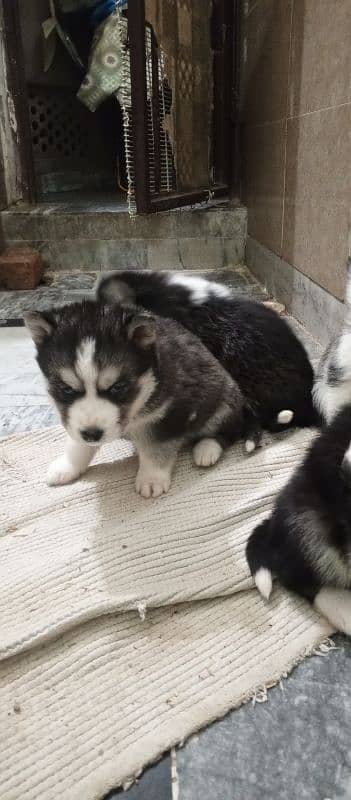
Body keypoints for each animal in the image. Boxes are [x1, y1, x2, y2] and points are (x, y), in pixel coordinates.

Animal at [25, 304, 262, 496]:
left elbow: (156, 448)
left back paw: (207, 449)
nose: (92, 434)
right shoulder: (75, 420)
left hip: (224, 402)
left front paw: (152, 478)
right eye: (66, 389)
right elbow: (77, 444)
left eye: (118, 387)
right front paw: (67, 466)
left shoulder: (169, 414)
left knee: (228, 431)